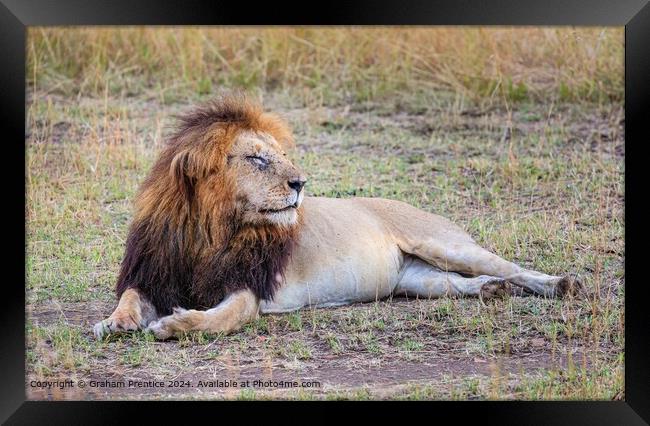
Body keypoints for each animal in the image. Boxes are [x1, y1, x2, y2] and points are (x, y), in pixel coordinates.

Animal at [92, 93, 584, 340]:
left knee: (513, 267)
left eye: (280, 155)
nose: (300, 183)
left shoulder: (248, 289)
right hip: (418, 280)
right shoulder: (153, 273)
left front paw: (175, 324)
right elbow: (130, 297)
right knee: (463, 283)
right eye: (257, 159)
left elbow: (218, 319)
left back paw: (560, 284)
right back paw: (491, 291)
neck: (209, 231)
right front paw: (116, 322)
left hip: (445, 244)